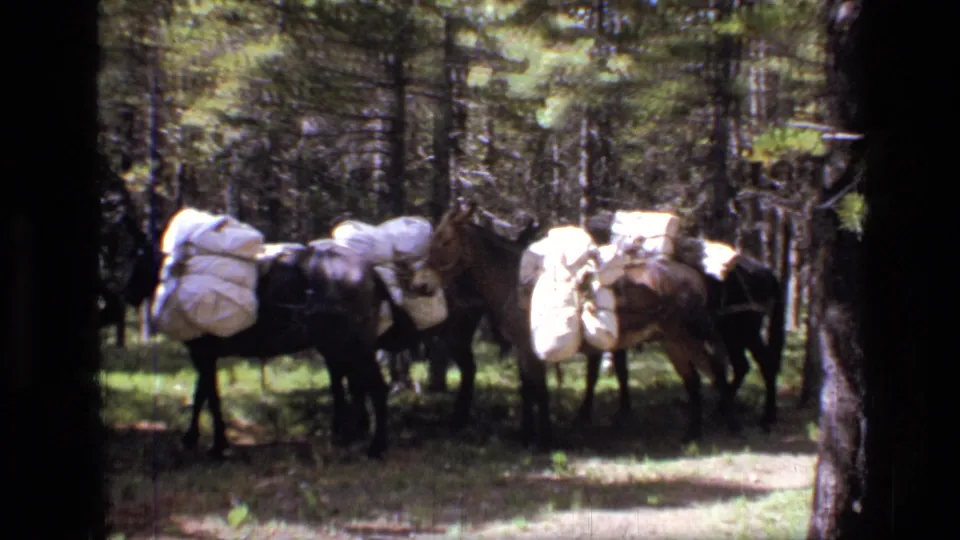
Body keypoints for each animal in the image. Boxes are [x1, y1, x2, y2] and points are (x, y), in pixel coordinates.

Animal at [426, 200, 741, 452]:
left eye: (445, 240)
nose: (423, 282)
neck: (513, 282)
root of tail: (696, 277)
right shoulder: (522, 351)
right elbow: (527, 390)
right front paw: (526, 437)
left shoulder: (531, 350)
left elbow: (539, 391)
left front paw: (543, 441)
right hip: (671, 340)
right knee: (695, 379)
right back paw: (693, 433)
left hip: (686, 336)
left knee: (715, 372)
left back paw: (727, 425)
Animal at [575, 213, 788, 431]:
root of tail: (764, 271)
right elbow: (618, 371)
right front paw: (621, 411)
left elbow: (596, 373)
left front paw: (586, 414)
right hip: (733, 335)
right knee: (742, 366)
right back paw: (723, 410)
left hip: (744, 331)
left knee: (763, 364)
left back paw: (765, 416)